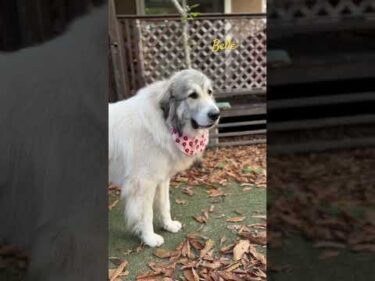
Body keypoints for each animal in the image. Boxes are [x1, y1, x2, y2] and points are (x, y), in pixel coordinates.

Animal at [108, 69, 220, 246]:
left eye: (209, 92)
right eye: (193, 95)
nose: (216, 114)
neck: (165, 123)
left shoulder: (162, 179)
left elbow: (164, 205)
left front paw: (168, 225)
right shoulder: (144, 183)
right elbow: (146, 214)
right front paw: (149, 238)